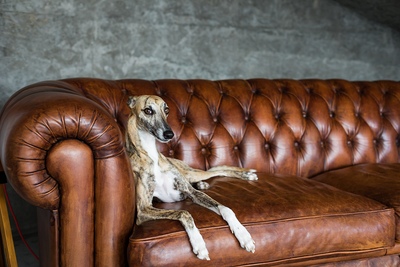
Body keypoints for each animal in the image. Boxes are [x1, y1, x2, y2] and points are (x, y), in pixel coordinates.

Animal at [126, 95, 258, 260]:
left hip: (191, 173)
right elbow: (185, 212)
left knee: (217, 170)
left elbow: (226, 208)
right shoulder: (143, 209)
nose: (170, 134)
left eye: (166, 110)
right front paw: (199, 244)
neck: (152, 155)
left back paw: (247, 174)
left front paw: (244, 235)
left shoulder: (192, 193)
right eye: (148, 110)